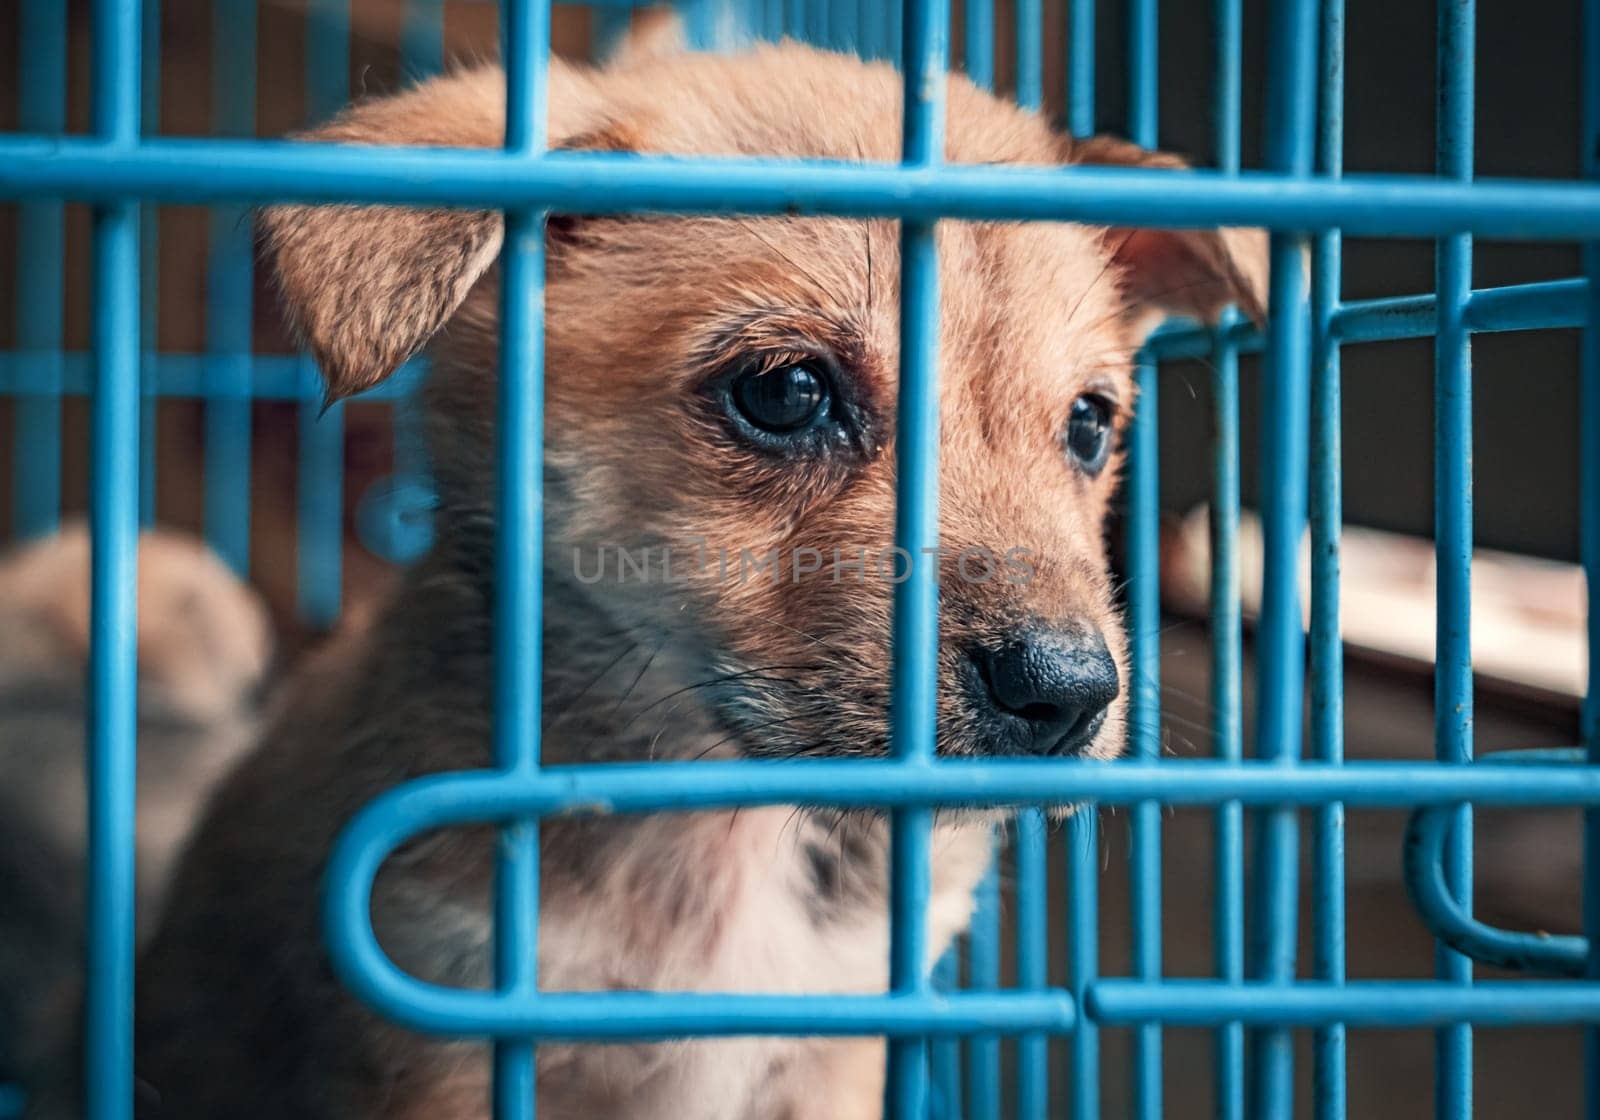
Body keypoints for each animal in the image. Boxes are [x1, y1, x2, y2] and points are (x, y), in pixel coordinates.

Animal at [124, 37, 1267, 1120]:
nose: (1067, 694)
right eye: (786, 389)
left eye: (1089, 424)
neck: (723, 822)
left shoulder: (837, 1045)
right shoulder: (443, 1041)